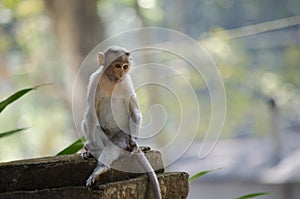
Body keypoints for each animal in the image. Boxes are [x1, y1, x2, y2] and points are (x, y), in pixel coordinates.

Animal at [81, 45, 162, 199]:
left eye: (125, 67)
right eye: (117, 65)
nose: (121, 73)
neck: (111, 81)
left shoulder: (127, 82)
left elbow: (135, 112)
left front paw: (135, 141)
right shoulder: (94, 79)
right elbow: (90, 113)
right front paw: (89, 145)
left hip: (124, 136)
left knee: (114, 145)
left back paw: (101, 168)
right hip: (105, 135)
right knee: (91, 127)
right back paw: (93, 150)